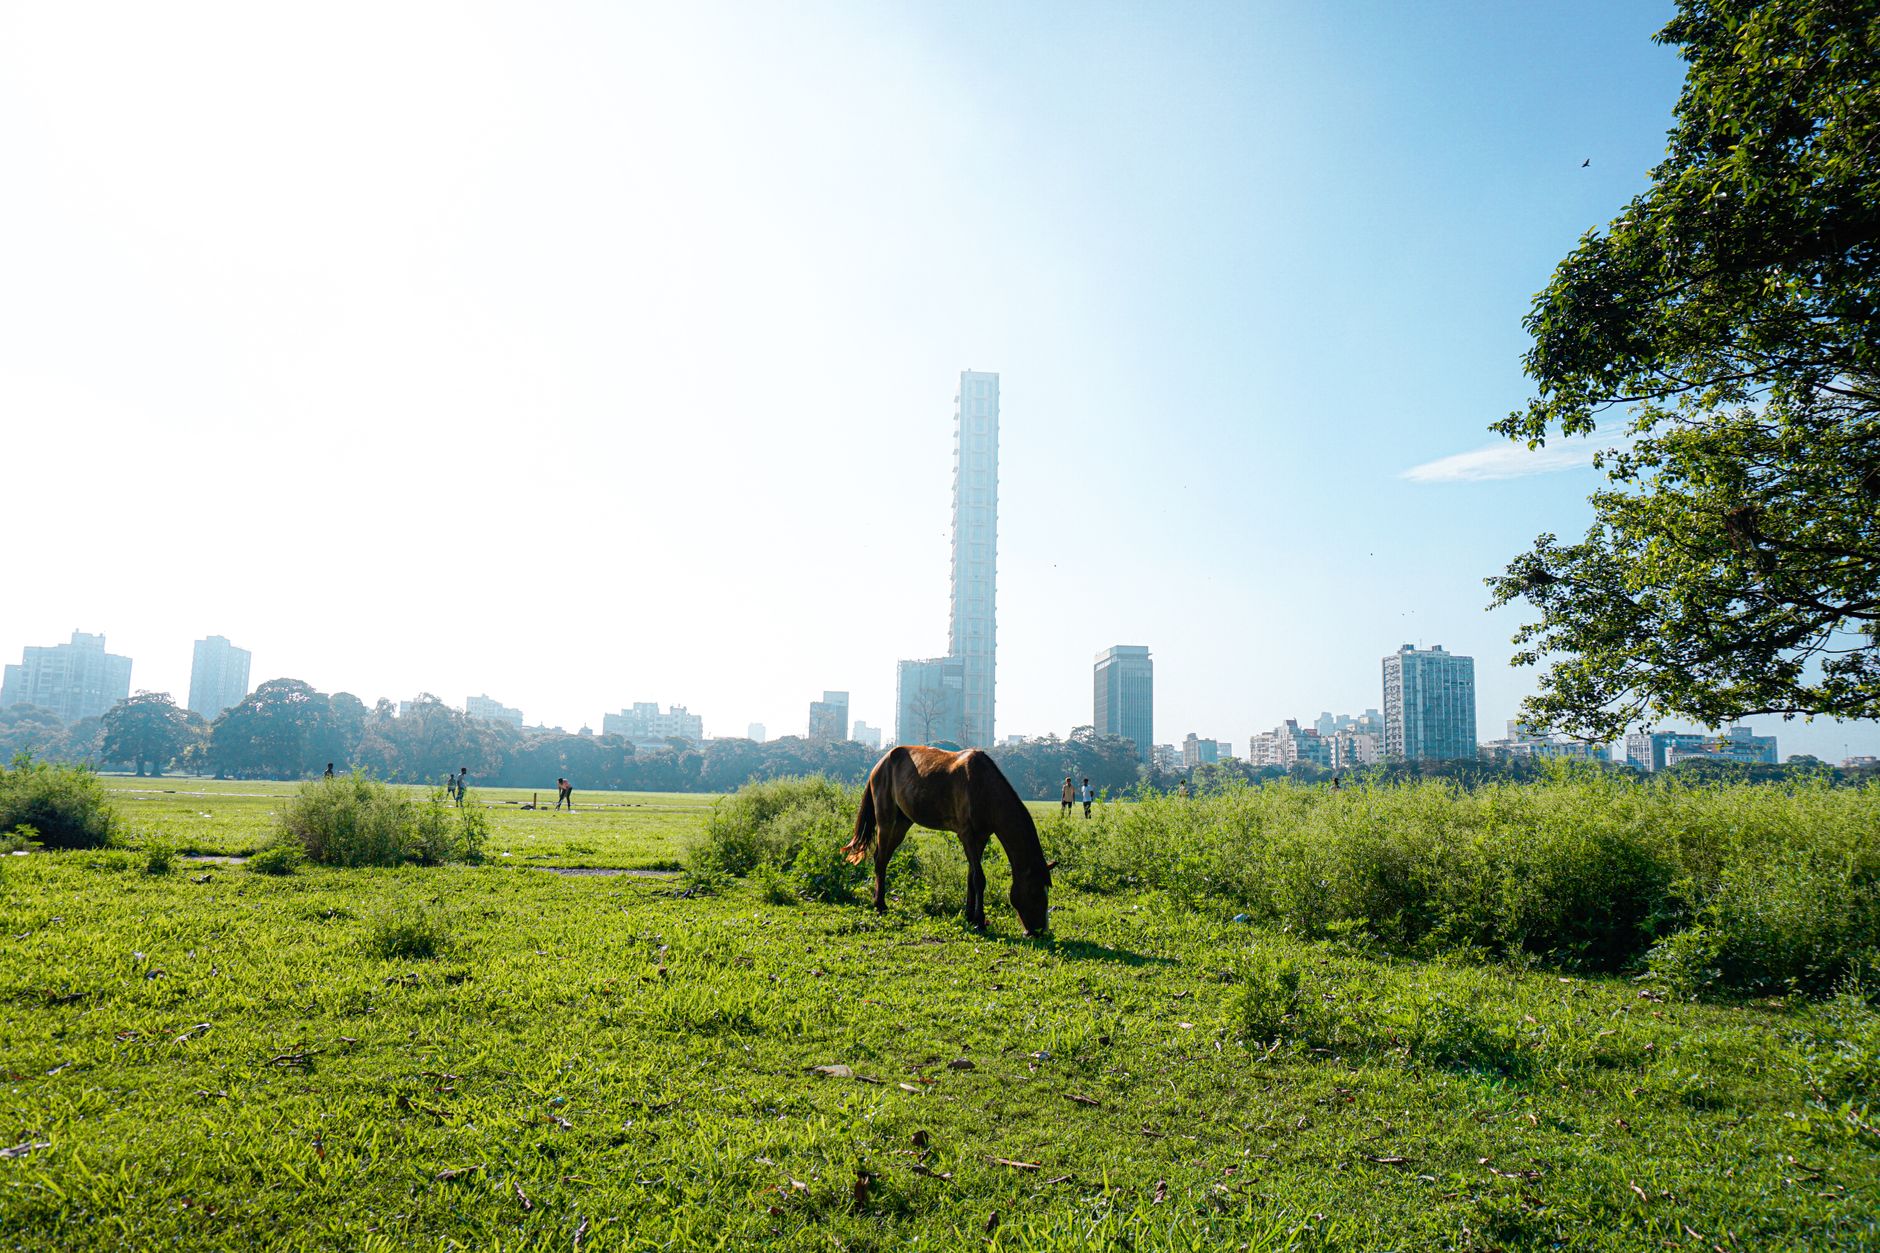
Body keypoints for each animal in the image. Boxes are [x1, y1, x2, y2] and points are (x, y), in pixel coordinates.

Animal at [840, 744, 1053, 935]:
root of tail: (880, 764)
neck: (984, 787)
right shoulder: (967, 835)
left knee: (882, 857)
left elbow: (971, 877)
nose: (1039, 931)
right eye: (1035, 892)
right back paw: (880, 905)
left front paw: (970, 916)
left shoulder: (981, 837)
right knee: (880, 860)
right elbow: (979, 878)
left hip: (902, 823)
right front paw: (980, 921)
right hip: (886, 821)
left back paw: (878, 900)